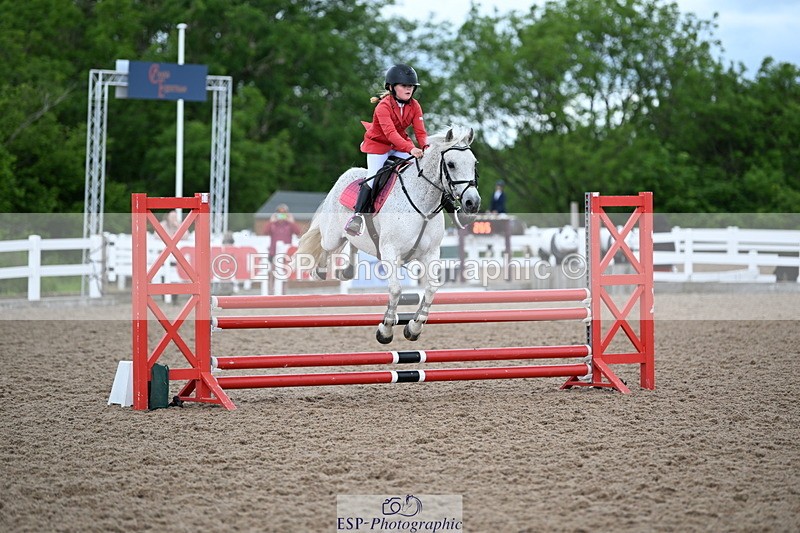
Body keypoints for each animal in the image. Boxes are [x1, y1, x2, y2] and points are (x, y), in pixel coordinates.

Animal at [295, 125, 481, 344]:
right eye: (451, 164)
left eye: (474, 163)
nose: (472, 203)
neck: (423, 204)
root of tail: (345, 176)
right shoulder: (390, 251)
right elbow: (396, 290)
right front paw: (385, 330)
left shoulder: (431, 253)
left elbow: (431, 289)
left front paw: (414, 327)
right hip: (333, 236)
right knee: (325, 245)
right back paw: (320, 270)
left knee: (353, 243)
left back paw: (348, 269)